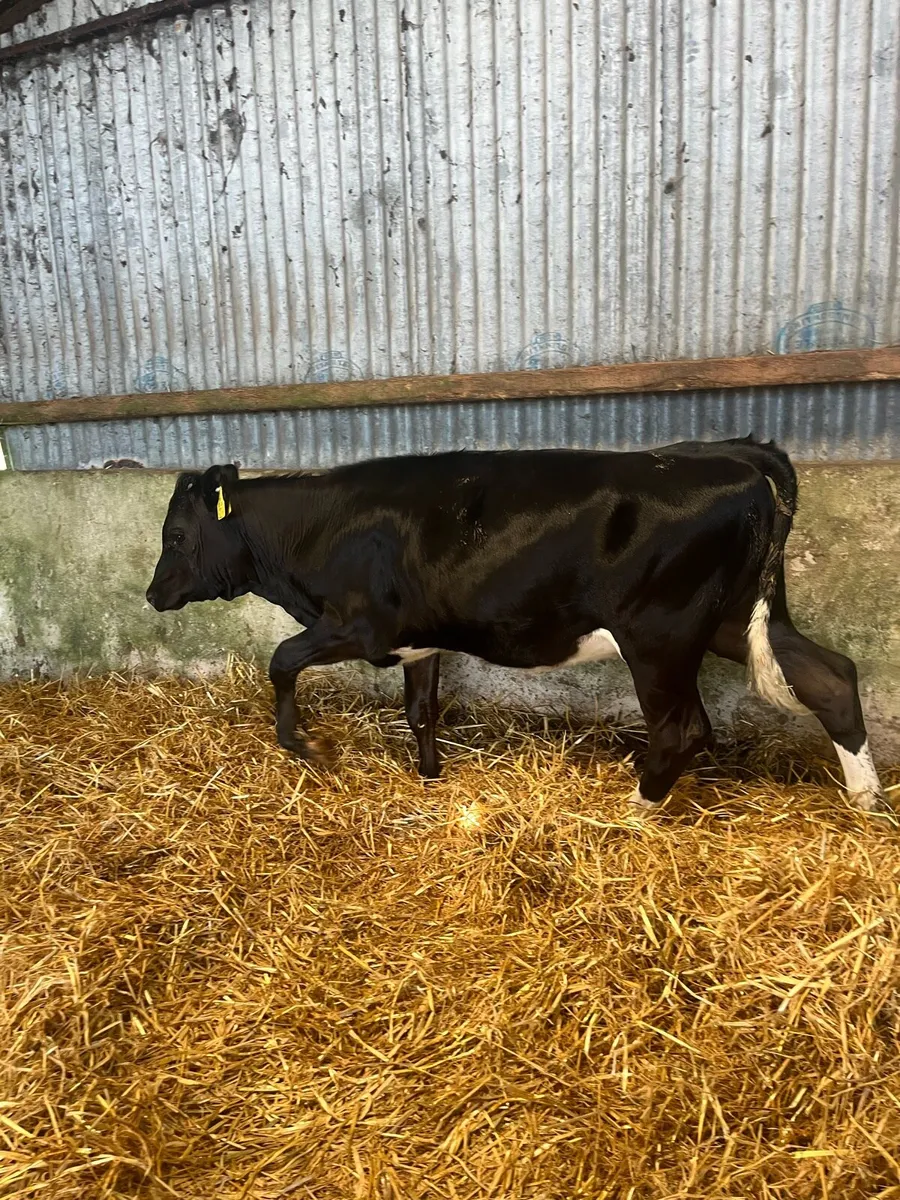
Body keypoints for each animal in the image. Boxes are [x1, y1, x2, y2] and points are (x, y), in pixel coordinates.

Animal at [145, 439, 887, 814]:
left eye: (176, 536)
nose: (152, 595)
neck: (319, 530)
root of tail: (741, 454)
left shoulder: (361, 628)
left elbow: (279, 659)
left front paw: (305, 746)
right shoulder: (421, 636)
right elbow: (421, 710)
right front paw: (431, 779)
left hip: (660, 633)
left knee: (683, 728)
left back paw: (636, 809)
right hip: (734, 618)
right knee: (831, 678)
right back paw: (867, 804)